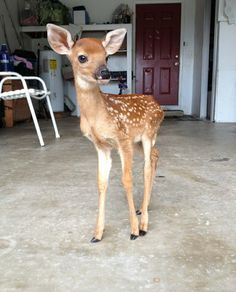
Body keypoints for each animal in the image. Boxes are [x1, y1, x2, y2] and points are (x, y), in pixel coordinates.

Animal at [46, 24, 163, 242]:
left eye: (106, 56)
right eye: (82, 57)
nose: (105, 73)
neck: (97, 116)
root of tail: (159, 106)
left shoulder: (122, 138)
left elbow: (127, 180)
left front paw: (133, 230)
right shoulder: (101, 145)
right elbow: (101, 183)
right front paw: (97, 233)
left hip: (148, 133)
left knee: (146, 168)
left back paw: (143, 223)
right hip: (139, 141)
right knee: (155, 155)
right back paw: (144, 208)